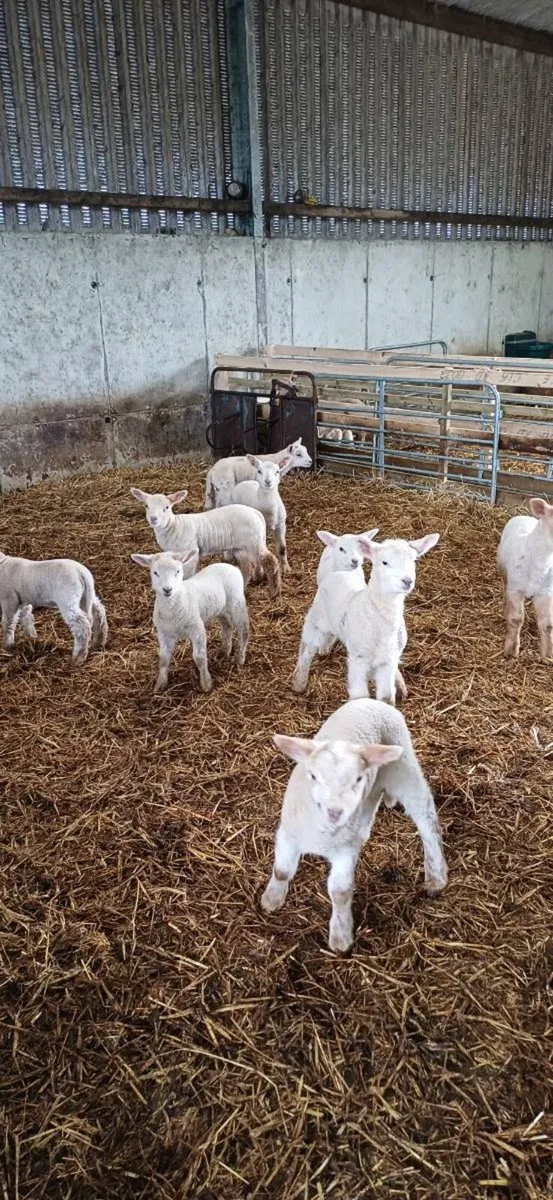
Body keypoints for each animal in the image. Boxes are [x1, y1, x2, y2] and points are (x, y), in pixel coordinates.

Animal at [130, 487, 281, 597]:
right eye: (146, 506)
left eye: (166, 507)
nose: (153, 519)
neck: (174, 526)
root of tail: (256, 513)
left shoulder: (190, 552)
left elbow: (187, 575)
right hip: (245, 545)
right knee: (248, 565)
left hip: (252, 542)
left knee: (270, 561)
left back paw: (274, 591)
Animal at [131, 549, 249, 693]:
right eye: (155, 572)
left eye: (177, 571)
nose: (167, 589)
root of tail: (231, 566)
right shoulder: (164, 633)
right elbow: (163, 659)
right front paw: (160, 684)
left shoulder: (197, 628)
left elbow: (199, 657)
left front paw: (206, 684)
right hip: (220, 608)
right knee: (227, 625)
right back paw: (224, 650)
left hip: (236, 601)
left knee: (243, 629)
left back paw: (240, 658)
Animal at [261, 698, 448, 952]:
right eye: (313, 776)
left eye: (357, 778)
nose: (335, 812)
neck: (324, 834)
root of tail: (374, 701)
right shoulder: (289, 834)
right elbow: (282, 871)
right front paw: (272, 899)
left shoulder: (345, 851)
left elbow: (340, 893)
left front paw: (340, 937)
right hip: (377, 785)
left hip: (404, 768)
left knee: (427, 818)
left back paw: (436, 877)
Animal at [292, 532, 439, 703]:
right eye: (384, 562)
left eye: (413, 561)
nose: (407, 581)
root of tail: (339, 572)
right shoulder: (358, 659)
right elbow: (360, 696)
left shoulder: (388, 660)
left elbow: (386, 697)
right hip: (316, 619)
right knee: (307, 648)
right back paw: (299, 682)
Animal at [497, 496, 553, 660]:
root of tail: (523, 515)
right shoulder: (515, 589)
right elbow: (516, 619)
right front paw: (511, 650)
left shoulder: (546, 592)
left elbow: (548, 624)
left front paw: (548, 656)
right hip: (504, 572)